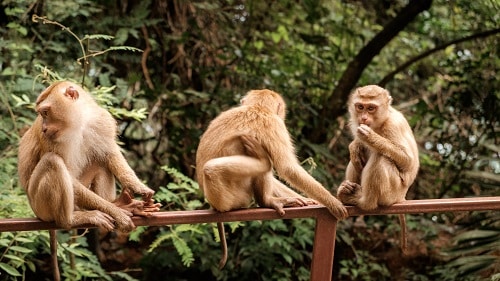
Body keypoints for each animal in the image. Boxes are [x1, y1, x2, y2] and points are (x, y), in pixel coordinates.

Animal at [18, 80, 160, 278]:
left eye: (45, 112)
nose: (45, 127)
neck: (78, 122)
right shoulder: (49, 139)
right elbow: (69, 175)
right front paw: (117, 214)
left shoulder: (102, 119)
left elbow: (109, 153)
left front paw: (138, 187)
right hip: (40, 206)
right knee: (52, 162)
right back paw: (70, 220)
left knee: (100, 161)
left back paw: (120, 204)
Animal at [195, 88, 348, 268]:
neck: (257, 108)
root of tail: (214, 204)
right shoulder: (275, 124)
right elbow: (287, 168)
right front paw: (333, 203)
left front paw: (308, 199)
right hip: (231, 197)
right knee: (213, 169)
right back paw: (266, 198)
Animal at [338, 84, 420, 253]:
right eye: (360, 107)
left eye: (371, 108)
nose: (363, 118)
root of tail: (402, 197)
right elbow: (357, 148)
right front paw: (354, 146)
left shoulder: (393, 125)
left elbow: (408, 162)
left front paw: (370, 137)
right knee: (356, 161)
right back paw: (346, 192)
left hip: (392, 193)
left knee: (381, 157)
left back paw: (364, 201)